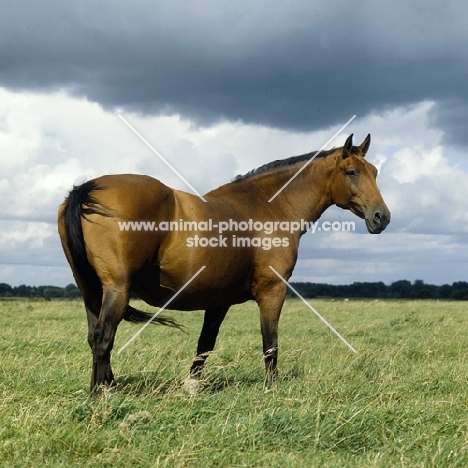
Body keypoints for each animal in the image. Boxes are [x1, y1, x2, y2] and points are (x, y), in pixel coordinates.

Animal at [56, 133, 390, 394]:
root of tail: (87, 188)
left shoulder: (219, 300)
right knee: (104, 337)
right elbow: (270, 343)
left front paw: (191, 387)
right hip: (117, 289)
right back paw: (103, 395)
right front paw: (272, 388)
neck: (267, 208)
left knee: (94, 337)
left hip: (92, 292)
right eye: (351, 171)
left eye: (374, 172)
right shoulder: (272, 291)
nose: (382, 217)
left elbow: (206, 342)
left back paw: (101, 388)